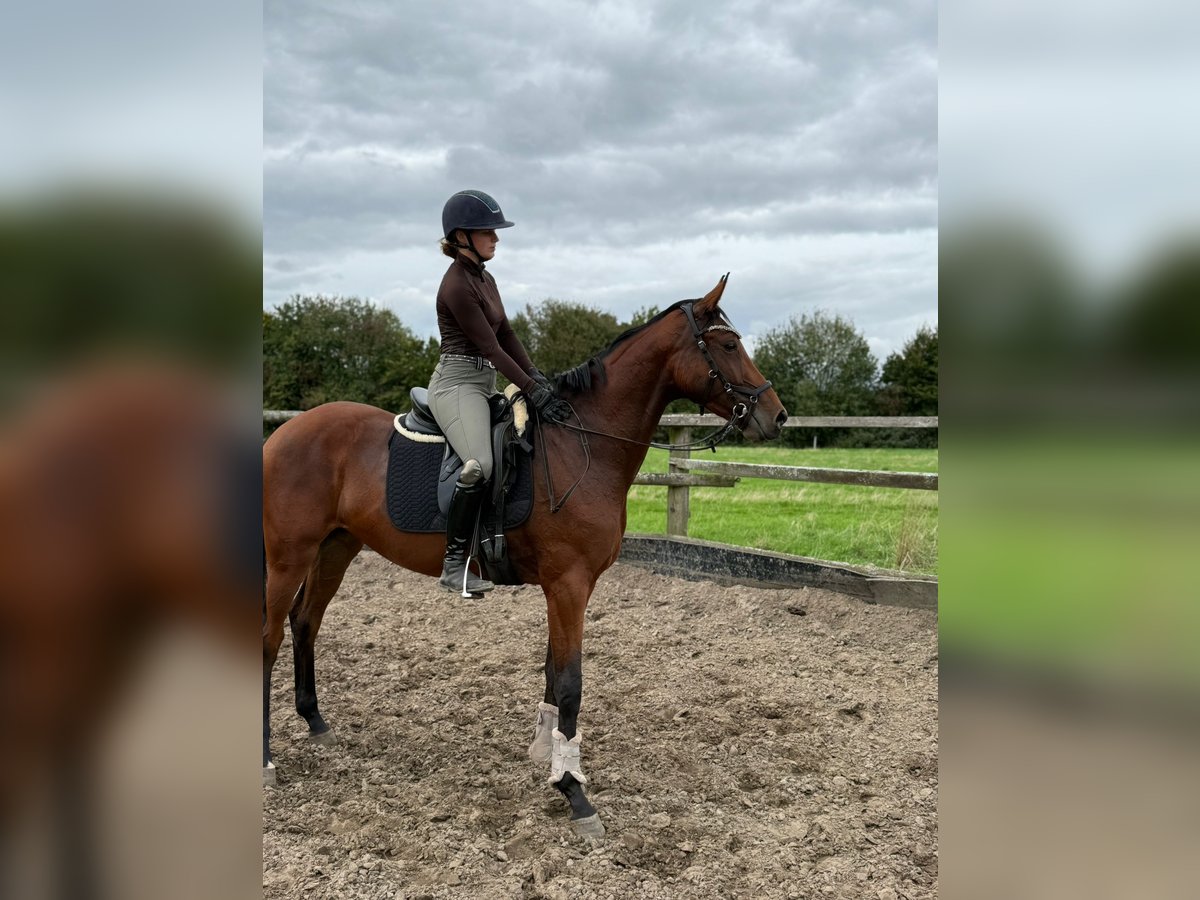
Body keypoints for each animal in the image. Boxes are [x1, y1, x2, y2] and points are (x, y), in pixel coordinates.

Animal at [262, 275, 787, 839]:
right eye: (728, 345)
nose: (776, 415)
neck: (582, 445)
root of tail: (282, 434)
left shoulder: (570, 587)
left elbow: (552, 673)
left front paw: (549, 756)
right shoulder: (569, 583)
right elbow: (571, 683)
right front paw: (575, 793)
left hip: (336, 547)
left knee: (306, 621)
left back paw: (316, 723)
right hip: (287, 557)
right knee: (268, 640)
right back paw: (266, 759)